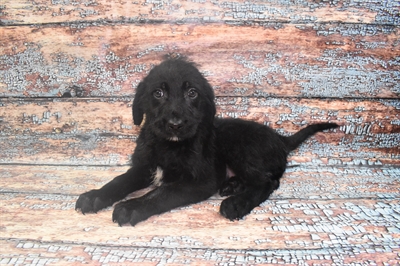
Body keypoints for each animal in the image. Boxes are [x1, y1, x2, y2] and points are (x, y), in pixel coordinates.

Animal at [76, 57, 338, 224]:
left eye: (192, 93)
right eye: (158, 93)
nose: (176, 124)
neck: (169, 145)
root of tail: (280, 138)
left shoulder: (201, 180)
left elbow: (162, 192)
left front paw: (132, 207)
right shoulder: (144, 167)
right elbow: (119, 181)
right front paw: (95, 195)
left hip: (238, 145)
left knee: (269, 181)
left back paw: (236, 202)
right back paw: (233, 185)